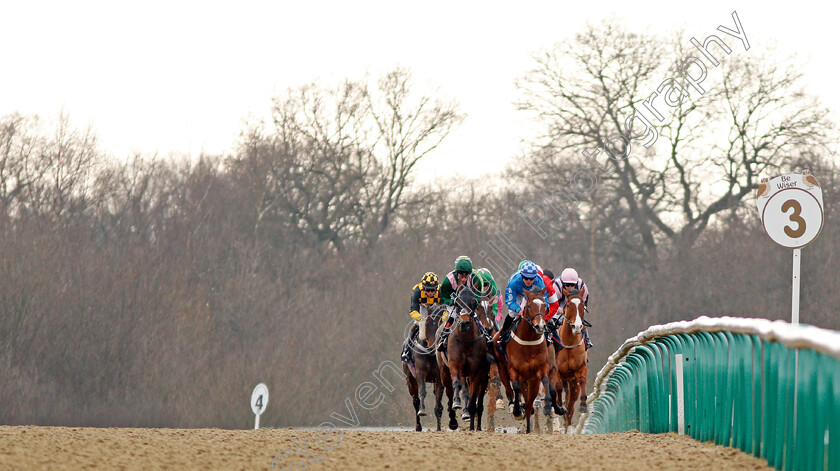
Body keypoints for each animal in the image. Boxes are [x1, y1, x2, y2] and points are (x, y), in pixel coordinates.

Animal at [436, 288, 488, 432]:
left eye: (473, 303)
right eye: (457, 303)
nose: (464, 323)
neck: (466, 341)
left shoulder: (476, 372)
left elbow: (473, 397)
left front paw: (472, 424)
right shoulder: (454, 365)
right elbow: (457, 384)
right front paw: (457, 403)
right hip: (444, 371)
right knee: (449, 391)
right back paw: (454, 417)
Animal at [502, 288, 560, 436]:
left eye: (544, 306)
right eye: (528, 306)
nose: (539, 326)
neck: (528, 343)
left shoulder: (541, 369)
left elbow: (546, 381)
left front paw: (548, 407)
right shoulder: (514, 370)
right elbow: (516, 387)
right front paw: (517, 411)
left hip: (534, 380)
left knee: (532, 401)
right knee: (525, 399)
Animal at [552, 286, 592, 434]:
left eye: (582, 306)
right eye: (568, 305)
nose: (577, 327)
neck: (568, 343)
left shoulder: (580, 368)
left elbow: (582, 381)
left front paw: (583, 404)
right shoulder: (557, 371)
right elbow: (557, 387)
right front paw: (559, 404)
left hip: (571, 381)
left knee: (570, 406)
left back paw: (568, 428)